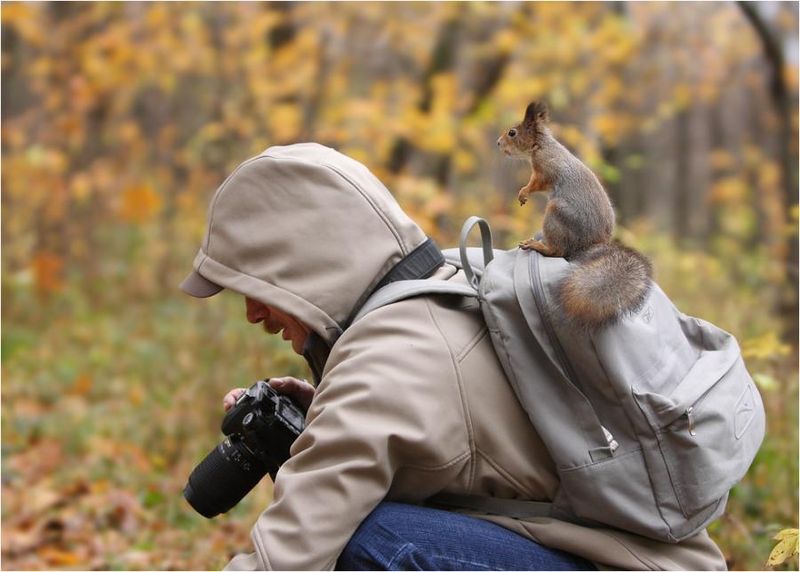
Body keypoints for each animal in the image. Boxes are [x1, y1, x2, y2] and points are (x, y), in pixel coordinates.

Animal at [496, 101, 652, 330]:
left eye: (512, 132)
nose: (498, 143)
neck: (541, 146)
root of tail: (590, 245)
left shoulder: (545, 171)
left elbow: (535, 184)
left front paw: (523, 193)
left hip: (557, 214)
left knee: (558, 251)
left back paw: (538, 245)